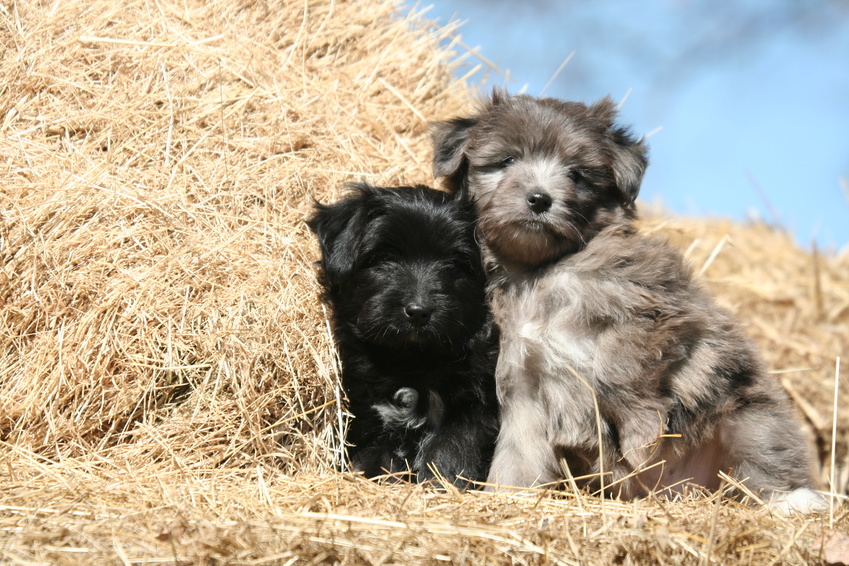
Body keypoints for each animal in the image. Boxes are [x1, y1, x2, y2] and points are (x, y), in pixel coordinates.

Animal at [308, 182, 500, 488]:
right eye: (385, 258)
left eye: (455, 265)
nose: (419, 311)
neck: (412, 361)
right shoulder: (369, 417)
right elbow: (374, 459)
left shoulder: (473, 408)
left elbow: (450, 453)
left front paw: (440, 485)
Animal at [430, 93, 820, 516]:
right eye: (507, 161)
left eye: (576, 174)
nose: (539, 199)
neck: (543, 272)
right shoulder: (522, 380)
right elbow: (518, 452)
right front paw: (507, 497)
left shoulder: (657, 312)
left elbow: (618, 371)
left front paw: (638, 432)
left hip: (749, 417)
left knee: (768, 455)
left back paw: (796, 500)